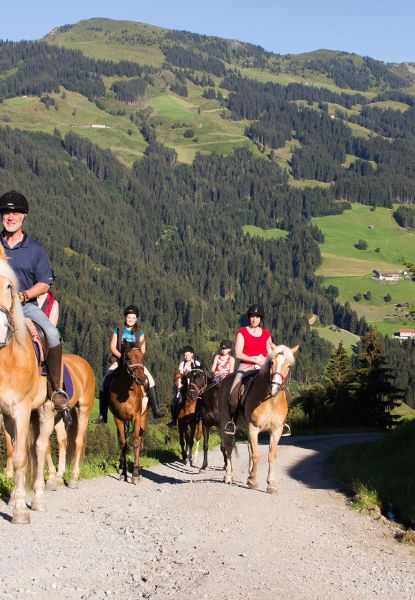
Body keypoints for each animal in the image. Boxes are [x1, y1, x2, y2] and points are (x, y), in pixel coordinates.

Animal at [0, 246, 95, 523]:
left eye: (9, 286)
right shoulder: (5, 413)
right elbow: (14, 449)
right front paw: (14, 498)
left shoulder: (21, 409)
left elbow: (22, 455)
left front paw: (20, 510)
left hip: (66, 410)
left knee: (53, 445)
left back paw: (58, 486)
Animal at [108, 340, 148, 484]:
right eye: (129, 358)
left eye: (142, 357)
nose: (142, 380)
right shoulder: (118, 418)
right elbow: (122, 443)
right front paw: (124, 472)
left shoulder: (136, 417)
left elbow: (135, 442)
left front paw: (135, 474)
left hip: (143, 418)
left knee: (140, 439)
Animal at [221, 344, 298, 492]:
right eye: (272, 362)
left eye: (289, 366)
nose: (274, 388)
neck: (270, 401)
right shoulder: (254, 428)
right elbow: (256, 455)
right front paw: (253, 481)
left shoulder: (276, 430)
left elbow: (271, 455)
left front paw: (271, 484)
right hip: (227, 427)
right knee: (228, 448)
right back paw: (228, 476)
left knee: (249, 449)